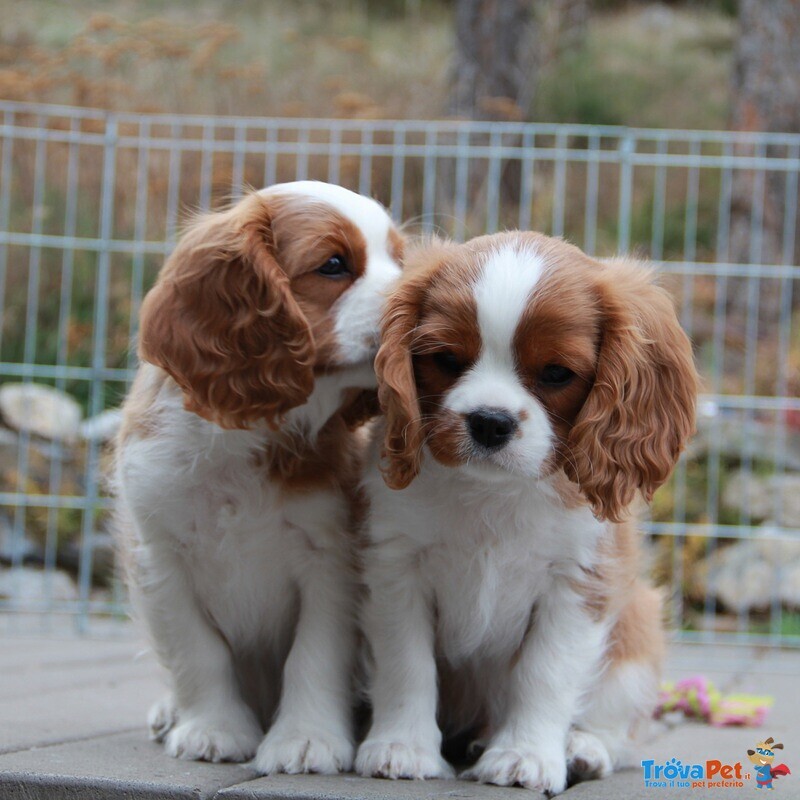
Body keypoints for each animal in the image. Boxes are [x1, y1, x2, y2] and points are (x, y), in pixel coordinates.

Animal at [115, 183, 404, 776]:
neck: (246, 436)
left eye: (400, 260)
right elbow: (197, 652)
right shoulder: (160, 556)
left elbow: (312, 655)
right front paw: (213, 729)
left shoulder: (330, 559)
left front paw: (306, 739)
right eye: (334, 265)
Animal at [354, 231, 696, 792]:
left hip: (639, 626)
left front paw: (525, 756)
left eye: (557, 373)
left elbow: (546, 672)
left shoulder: (579, 580)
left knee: (618, 726)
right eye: (446, 359)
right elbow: (407, 663)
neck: (494, 493)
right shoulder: (394, 568)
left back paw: (582, 749)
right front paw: (402, 747)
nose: (490, 422)